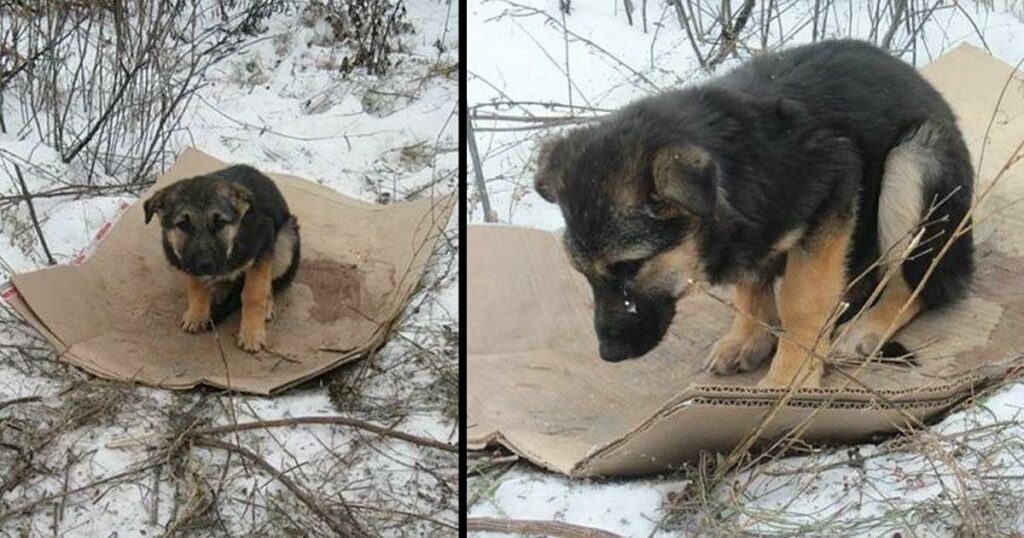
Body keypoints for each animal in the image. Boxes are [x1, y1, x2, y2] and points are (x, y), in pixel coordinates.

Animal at [146, 164, 301, 352]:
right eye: (183, 224)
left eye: (220, 222)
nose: (205, 264)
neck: (233, 243)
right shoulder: (187, 261)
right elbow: (196, 285)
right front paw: (197, 313)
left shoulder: (263, 246)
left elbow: (254, 293)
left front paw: (252, 333)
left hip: (286, 240)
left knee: (270, 282)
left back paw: (266, 304)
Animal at [536, 39, 974, 387]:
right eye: (582, 272)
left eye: (631, 265)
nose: (609, 353)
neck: (732, 174)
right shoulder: (748, 239)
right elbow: (750, 285)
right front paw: (748, 336)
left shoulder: (835, 186)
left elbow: (801, 299)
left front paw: (789, 377)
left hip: (914, 161)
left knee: (918, 286)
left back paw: (868, 326)